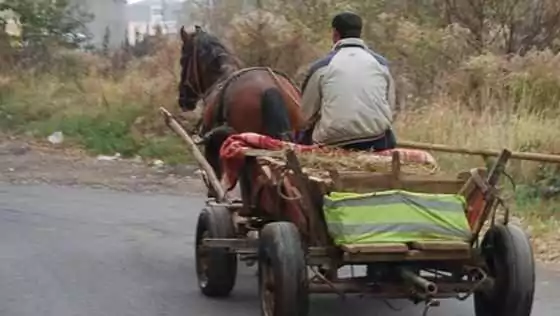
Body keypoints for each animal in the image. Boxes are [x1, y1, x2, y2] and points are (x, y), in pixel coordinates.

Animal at [176, 25, 304, 196]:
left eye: (182, 60)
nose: (183, 99)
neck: (220, 78)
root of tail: (270, 88)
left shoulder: (212, 148)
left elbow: (214, 179)